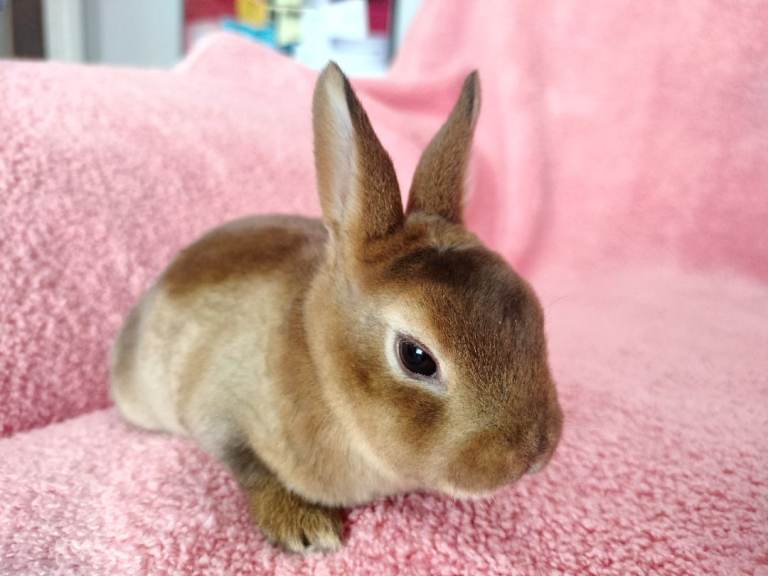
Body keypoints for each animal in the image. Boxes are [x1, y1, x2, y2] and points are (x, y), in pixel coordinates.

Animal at [110, 62, 563, 553]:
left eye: (536, 315)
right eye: (416, 357)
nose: (533, 452)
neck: (321, 365)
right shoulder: (219, 412)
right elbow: (250, 469)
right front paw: (305, 527)